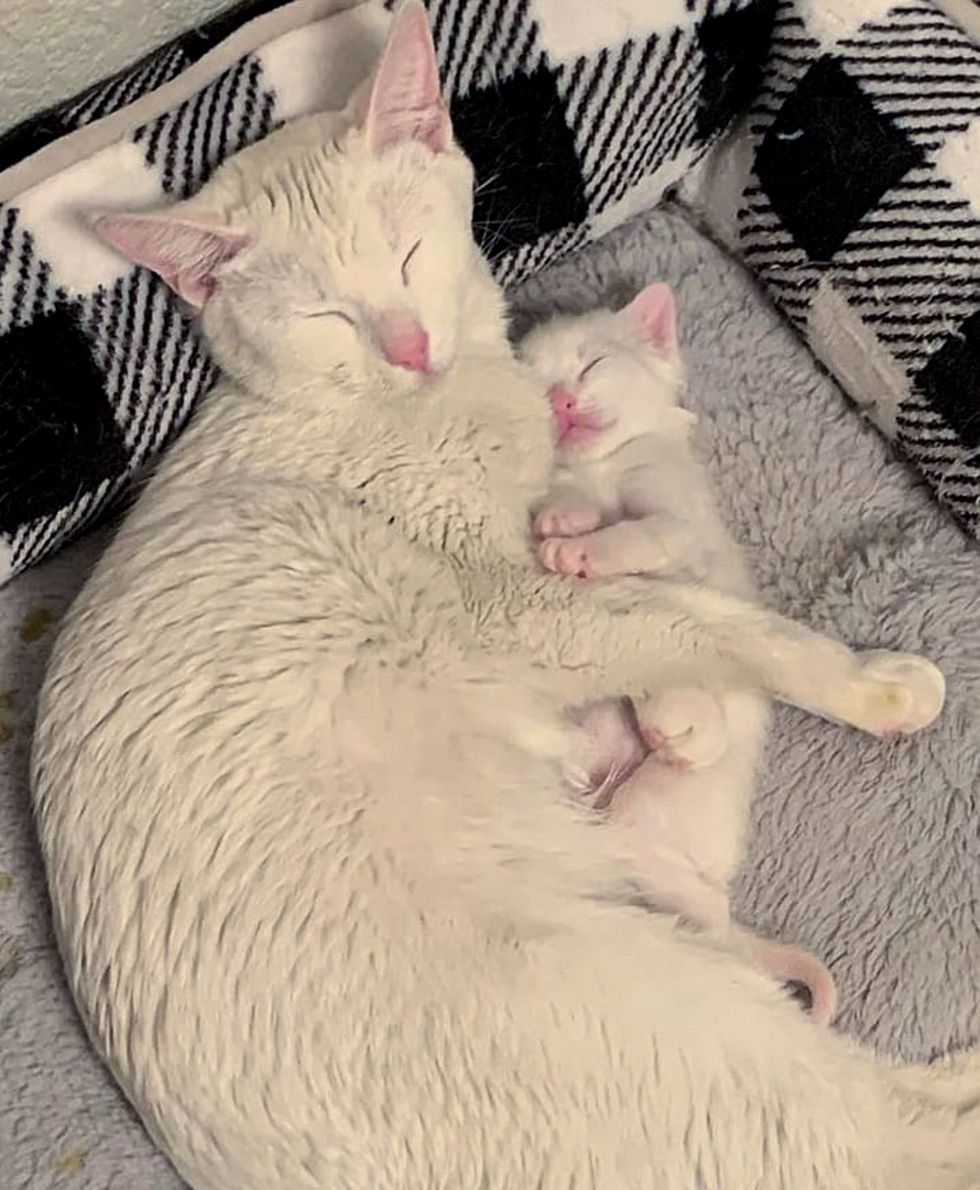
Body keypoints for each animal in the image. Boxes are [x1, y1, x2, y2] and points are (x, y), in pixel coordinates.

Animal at [523, 285, 837, 1023]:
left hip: (663, 800)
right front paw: (564, 520)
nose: (563, 403)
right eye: (539, 384)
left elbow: (646, 536)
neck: (601, 468)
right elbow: (565, 500)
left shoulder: (676, 514)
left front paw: (587, 551)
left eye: (592, 365)